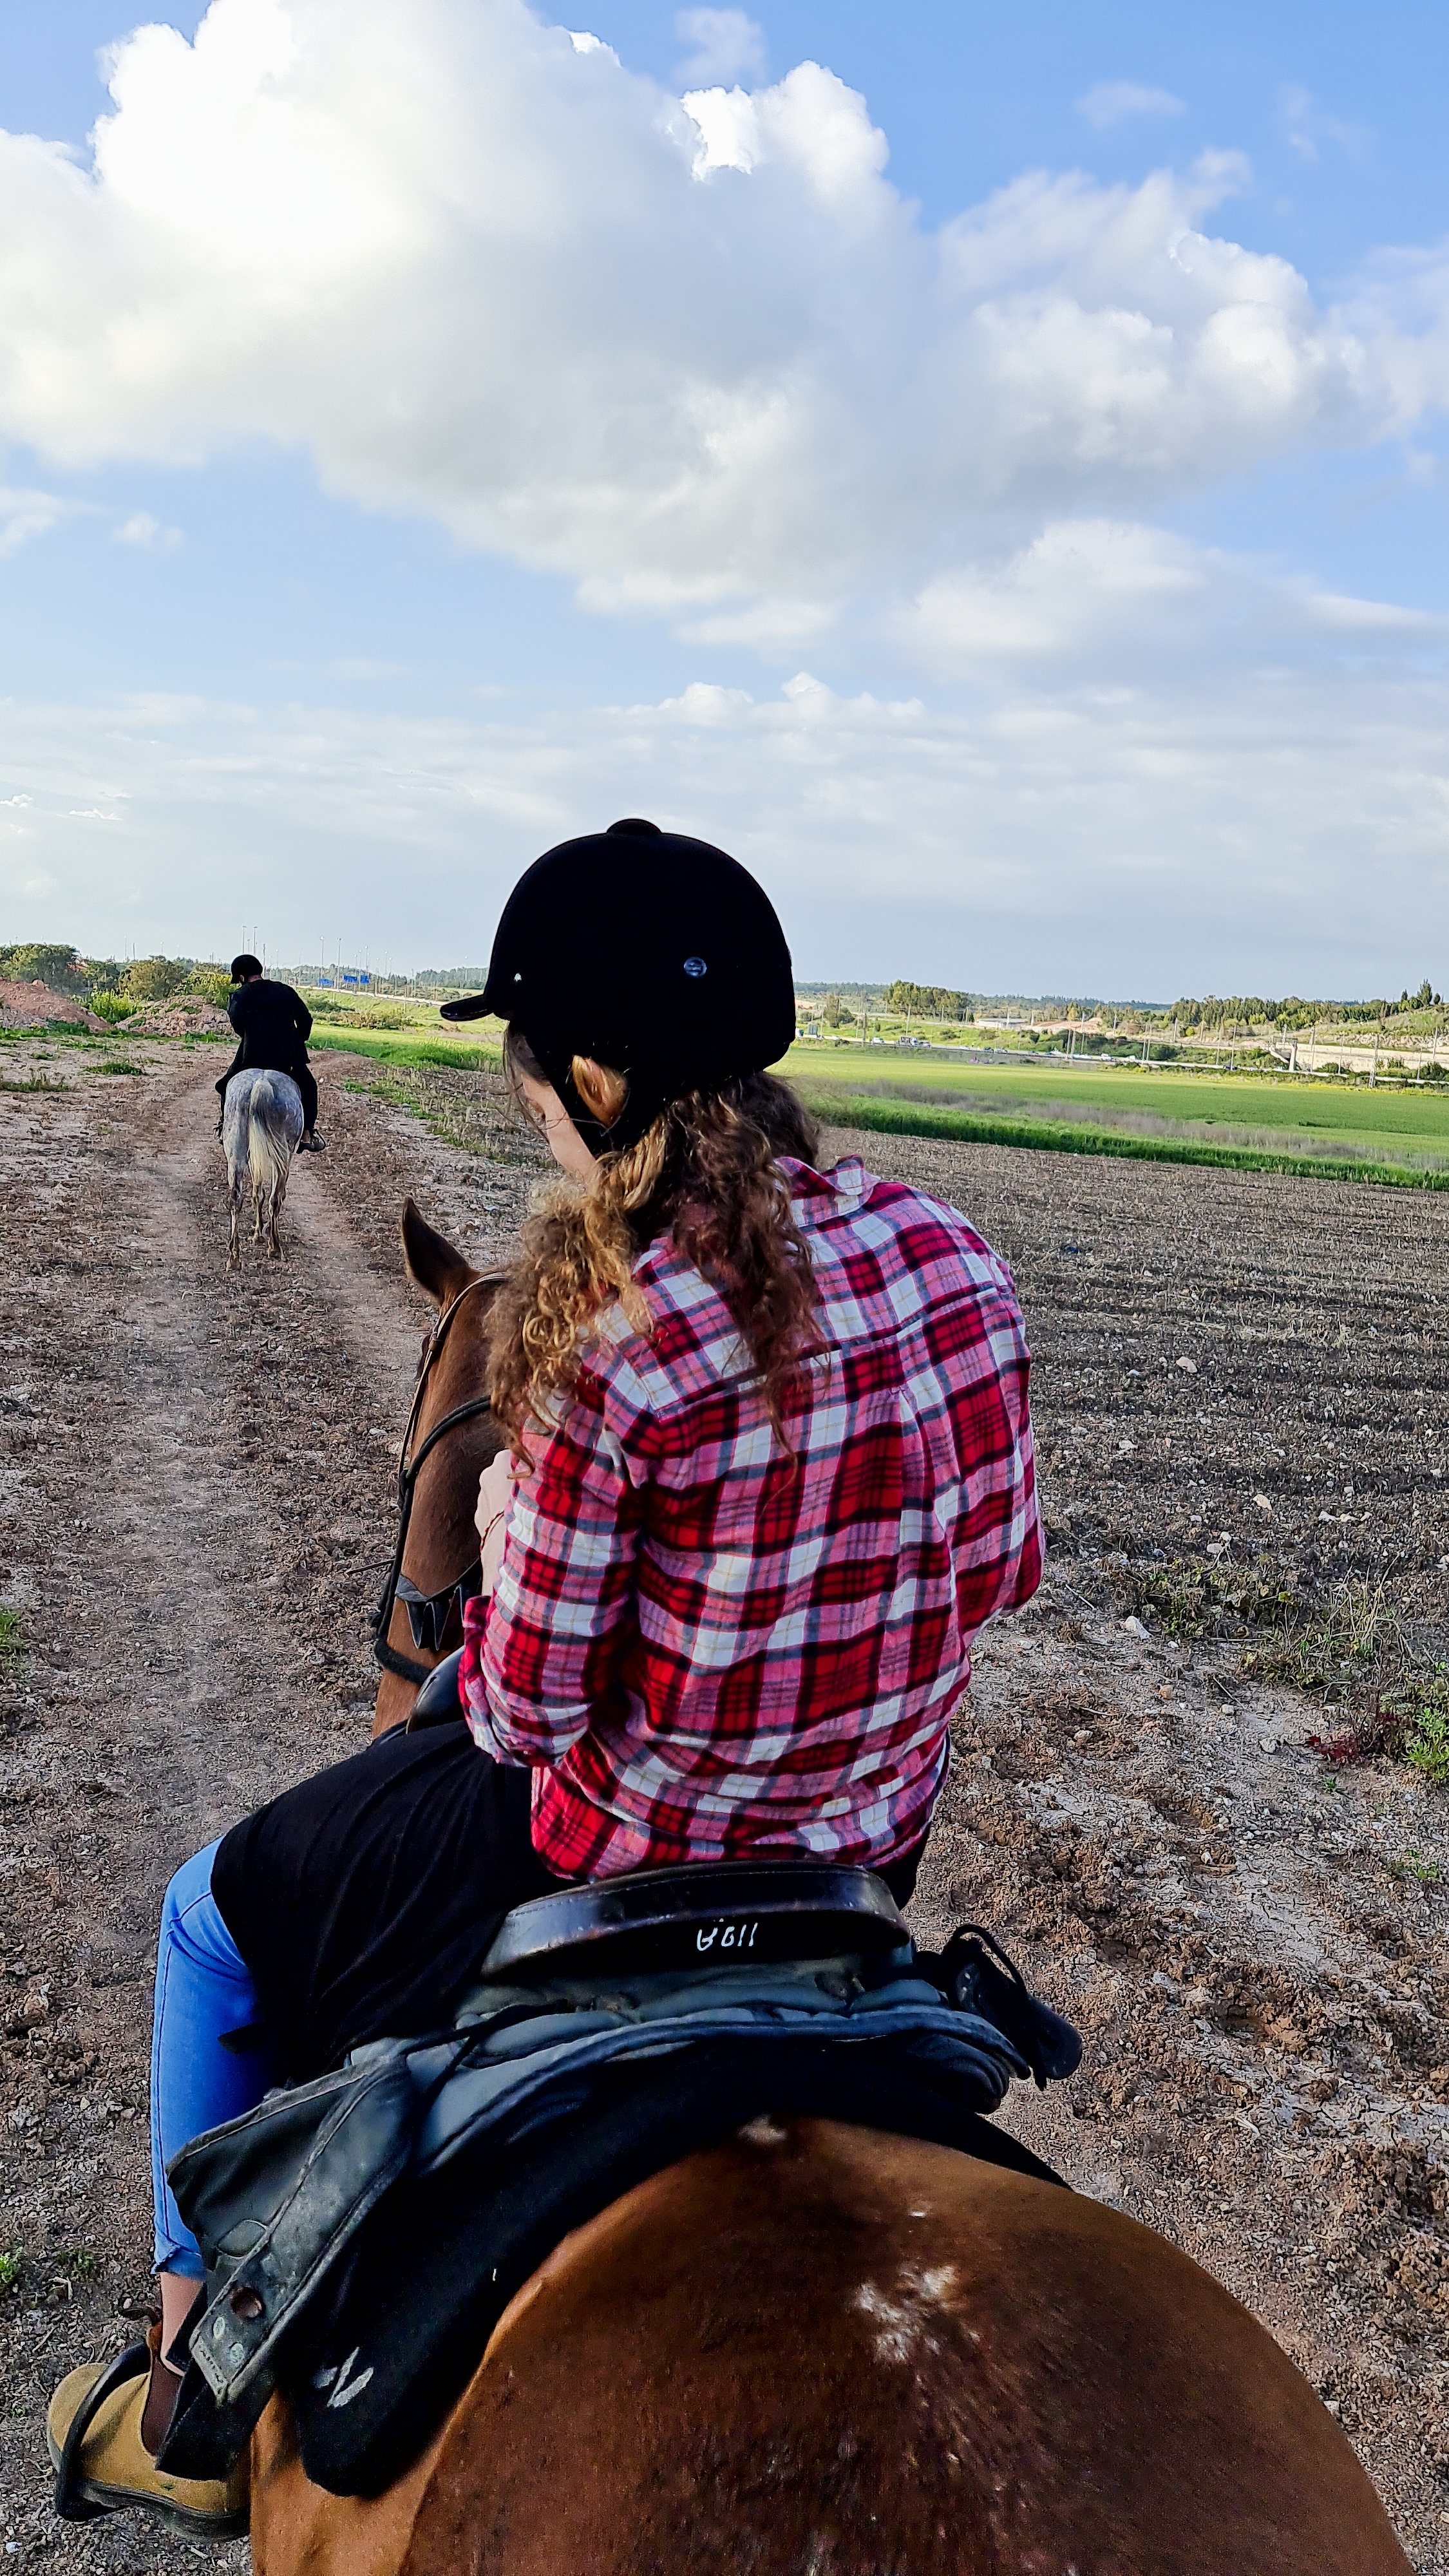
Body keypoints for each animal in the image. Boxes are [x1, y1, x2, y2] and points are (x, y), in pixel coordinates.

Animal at [220, 1069, 304, 1266]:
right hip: (283, 1156)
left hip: (236, 1153)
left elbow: (257, 1194)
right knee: (275, 1199)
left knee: (236, 1198)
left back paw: (234, 1256)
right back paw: (275, 1247)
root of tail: (261, 1084)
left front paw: (257, 1234)